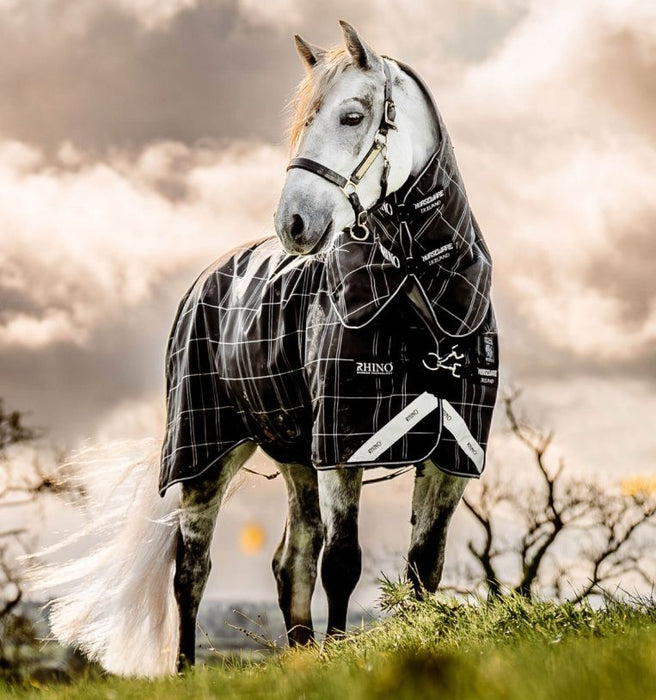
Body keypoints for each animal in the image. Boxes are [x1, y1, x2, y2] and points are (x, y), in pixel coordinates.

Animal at [37, 22, 498, 678]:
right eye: (303, 120)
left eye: (352, 115)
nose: (294, 223)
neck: (417, 294)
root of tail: (209, 275)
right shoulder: (343, 448)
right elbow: (344, 563)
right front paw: (341, 658)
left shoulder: (452, 455)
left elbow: (422, 569)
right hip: (205, 456)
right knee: (193, 570)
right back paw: (186, 670)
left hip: (295, 457)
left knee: (292, 561)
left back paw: (301, 653)